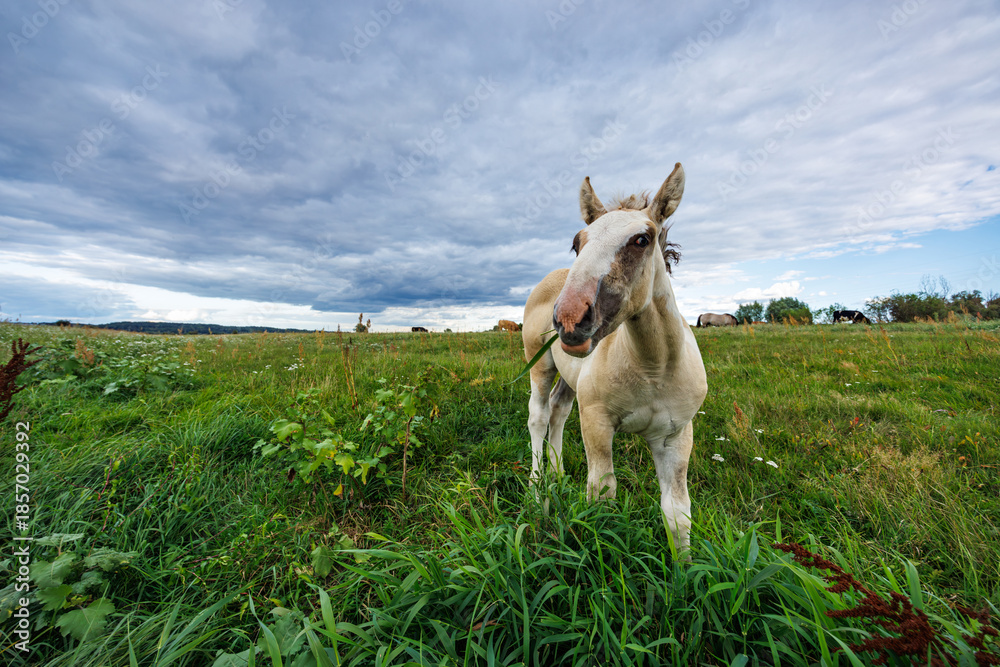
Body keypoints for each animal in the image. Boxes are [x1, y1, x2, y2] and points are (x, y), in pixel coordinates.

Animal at [521, 163, 707, 553]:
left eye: (642, 240)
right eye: (577, 243)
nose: (570, 318)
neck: (653, 368)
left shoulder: (676, 435)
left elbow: (678, 513)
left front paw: (683, 568)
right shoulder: (597, 422)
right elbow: (602, 495)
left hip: (571, 375)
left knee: (559, 410)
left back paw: (558, 474)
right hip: (540, 365)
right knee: (539, 416)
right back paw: (537, 486)